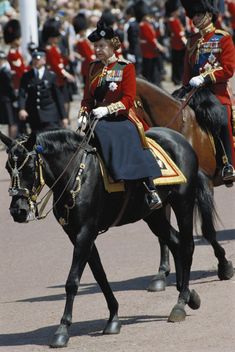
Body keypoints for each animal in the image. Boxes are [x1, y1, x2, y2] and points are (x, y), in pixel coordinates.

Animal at [0, 128, 214, 348]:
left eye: (29, 167)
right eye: (8, 168)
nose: (18, 211)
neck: (76, 174)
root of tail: (179, 138)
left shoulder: (85, 233)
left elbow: (72, 282)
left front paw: (62, 329)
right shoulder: (78, 235)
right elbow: (100, 275)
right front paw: (113, 318)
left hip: (183, 204)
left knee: (187, 246)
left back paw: (180, 303)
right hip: (152, 215)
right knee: (175, 242)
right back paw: (187, 294)